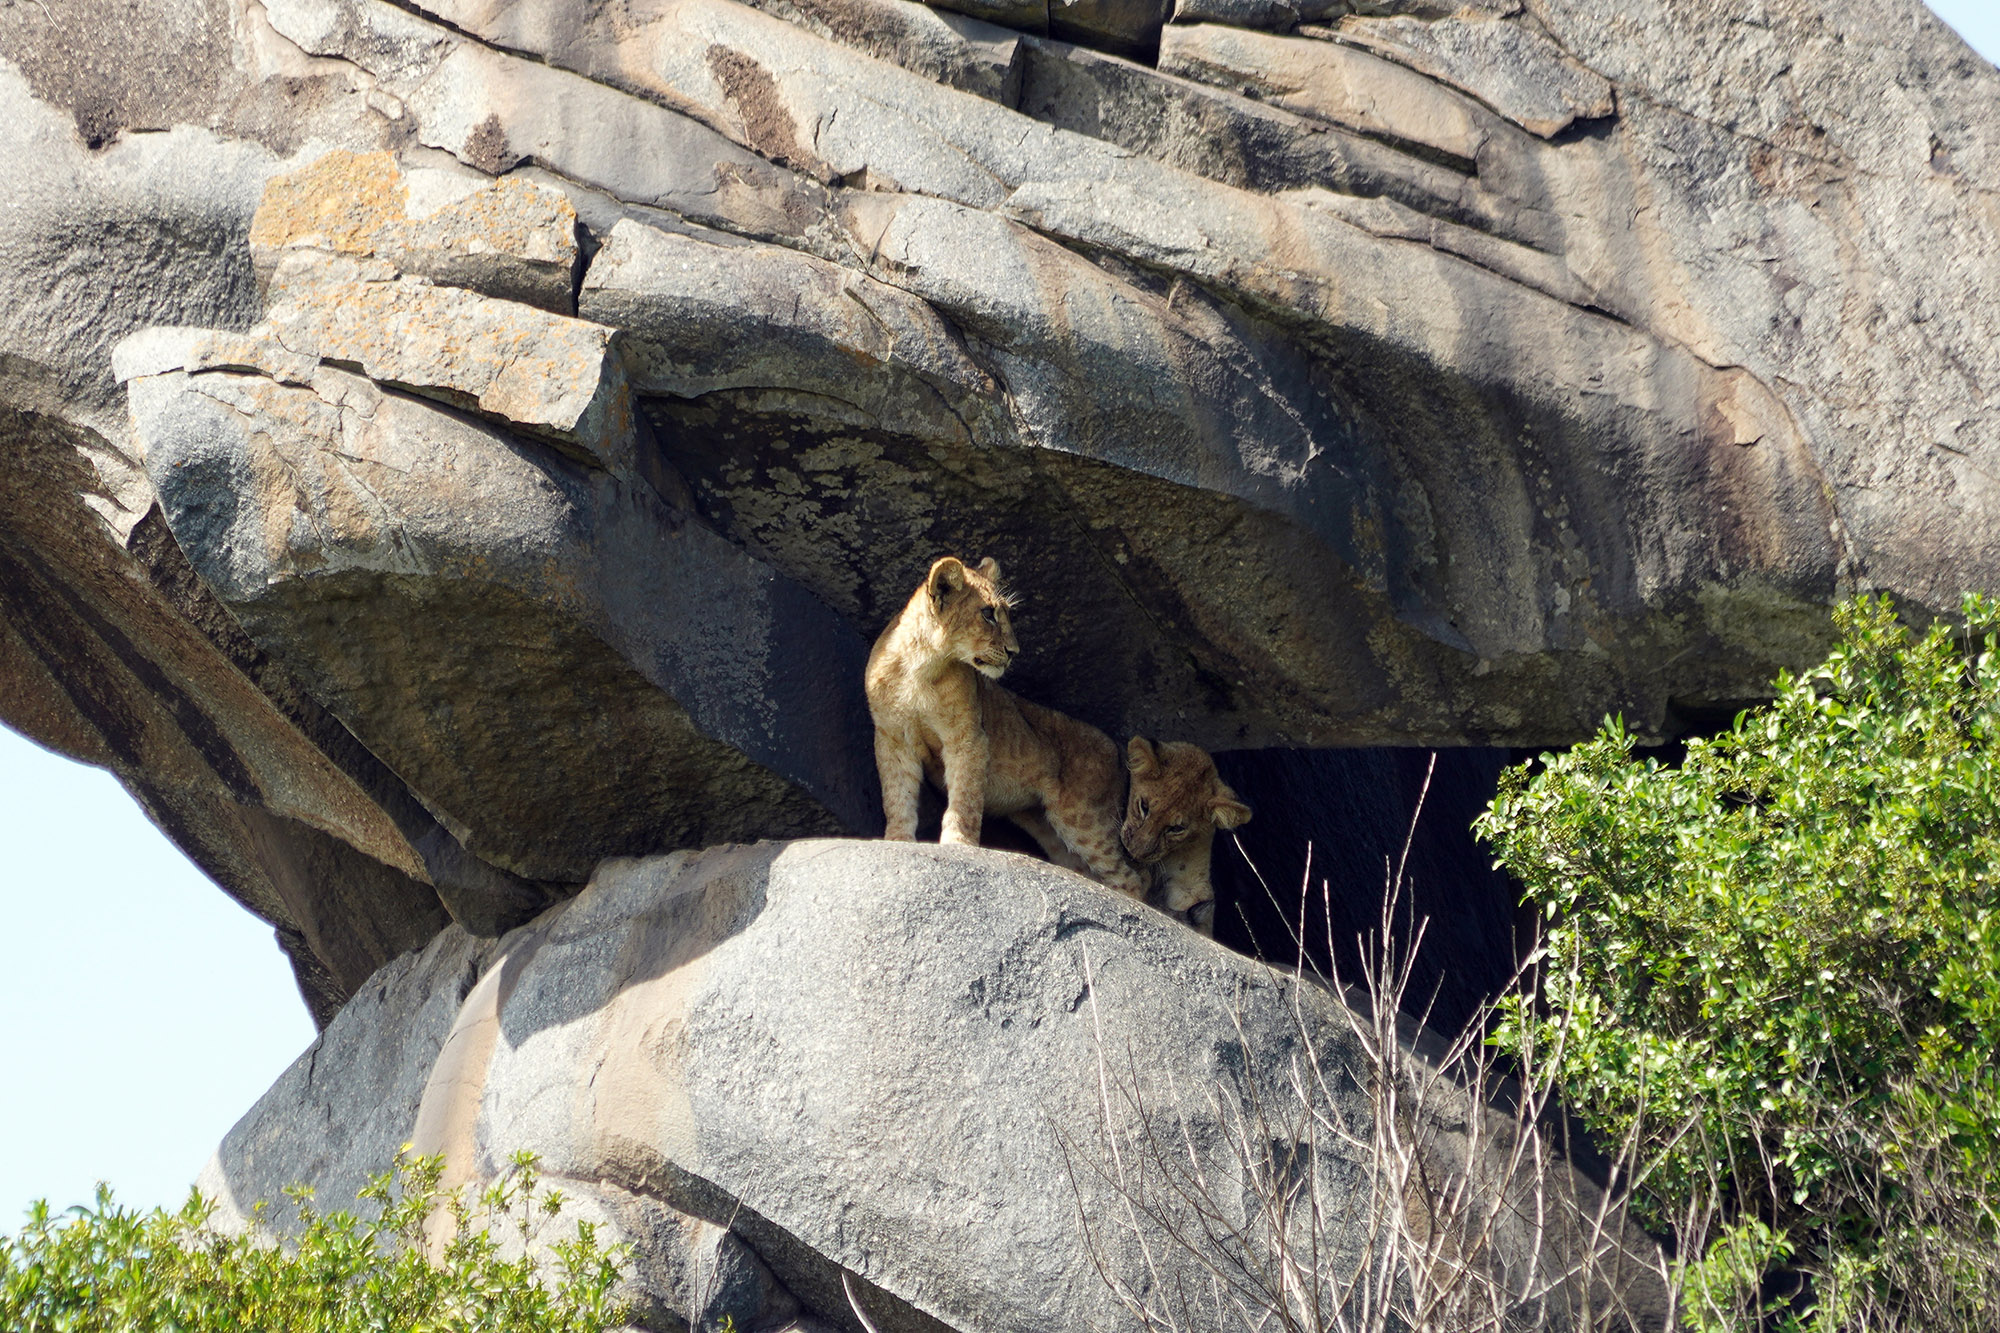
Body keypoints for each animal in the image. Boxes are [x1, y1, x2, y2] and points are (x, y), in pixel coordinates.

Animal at [865, 555, 1147, 898]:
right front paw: (897, 841)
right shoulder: (892, 739)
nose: (1014, 652)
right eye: (987, 613)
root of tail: (1119, 751)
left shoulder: (968, 737)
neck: (921, 666)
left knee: (1133, 878)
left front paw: (959, 844)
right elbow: (896, 796)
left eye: (1006, 614)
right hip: (1048, 826)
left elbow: (965, 797)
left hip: (1084, 818)